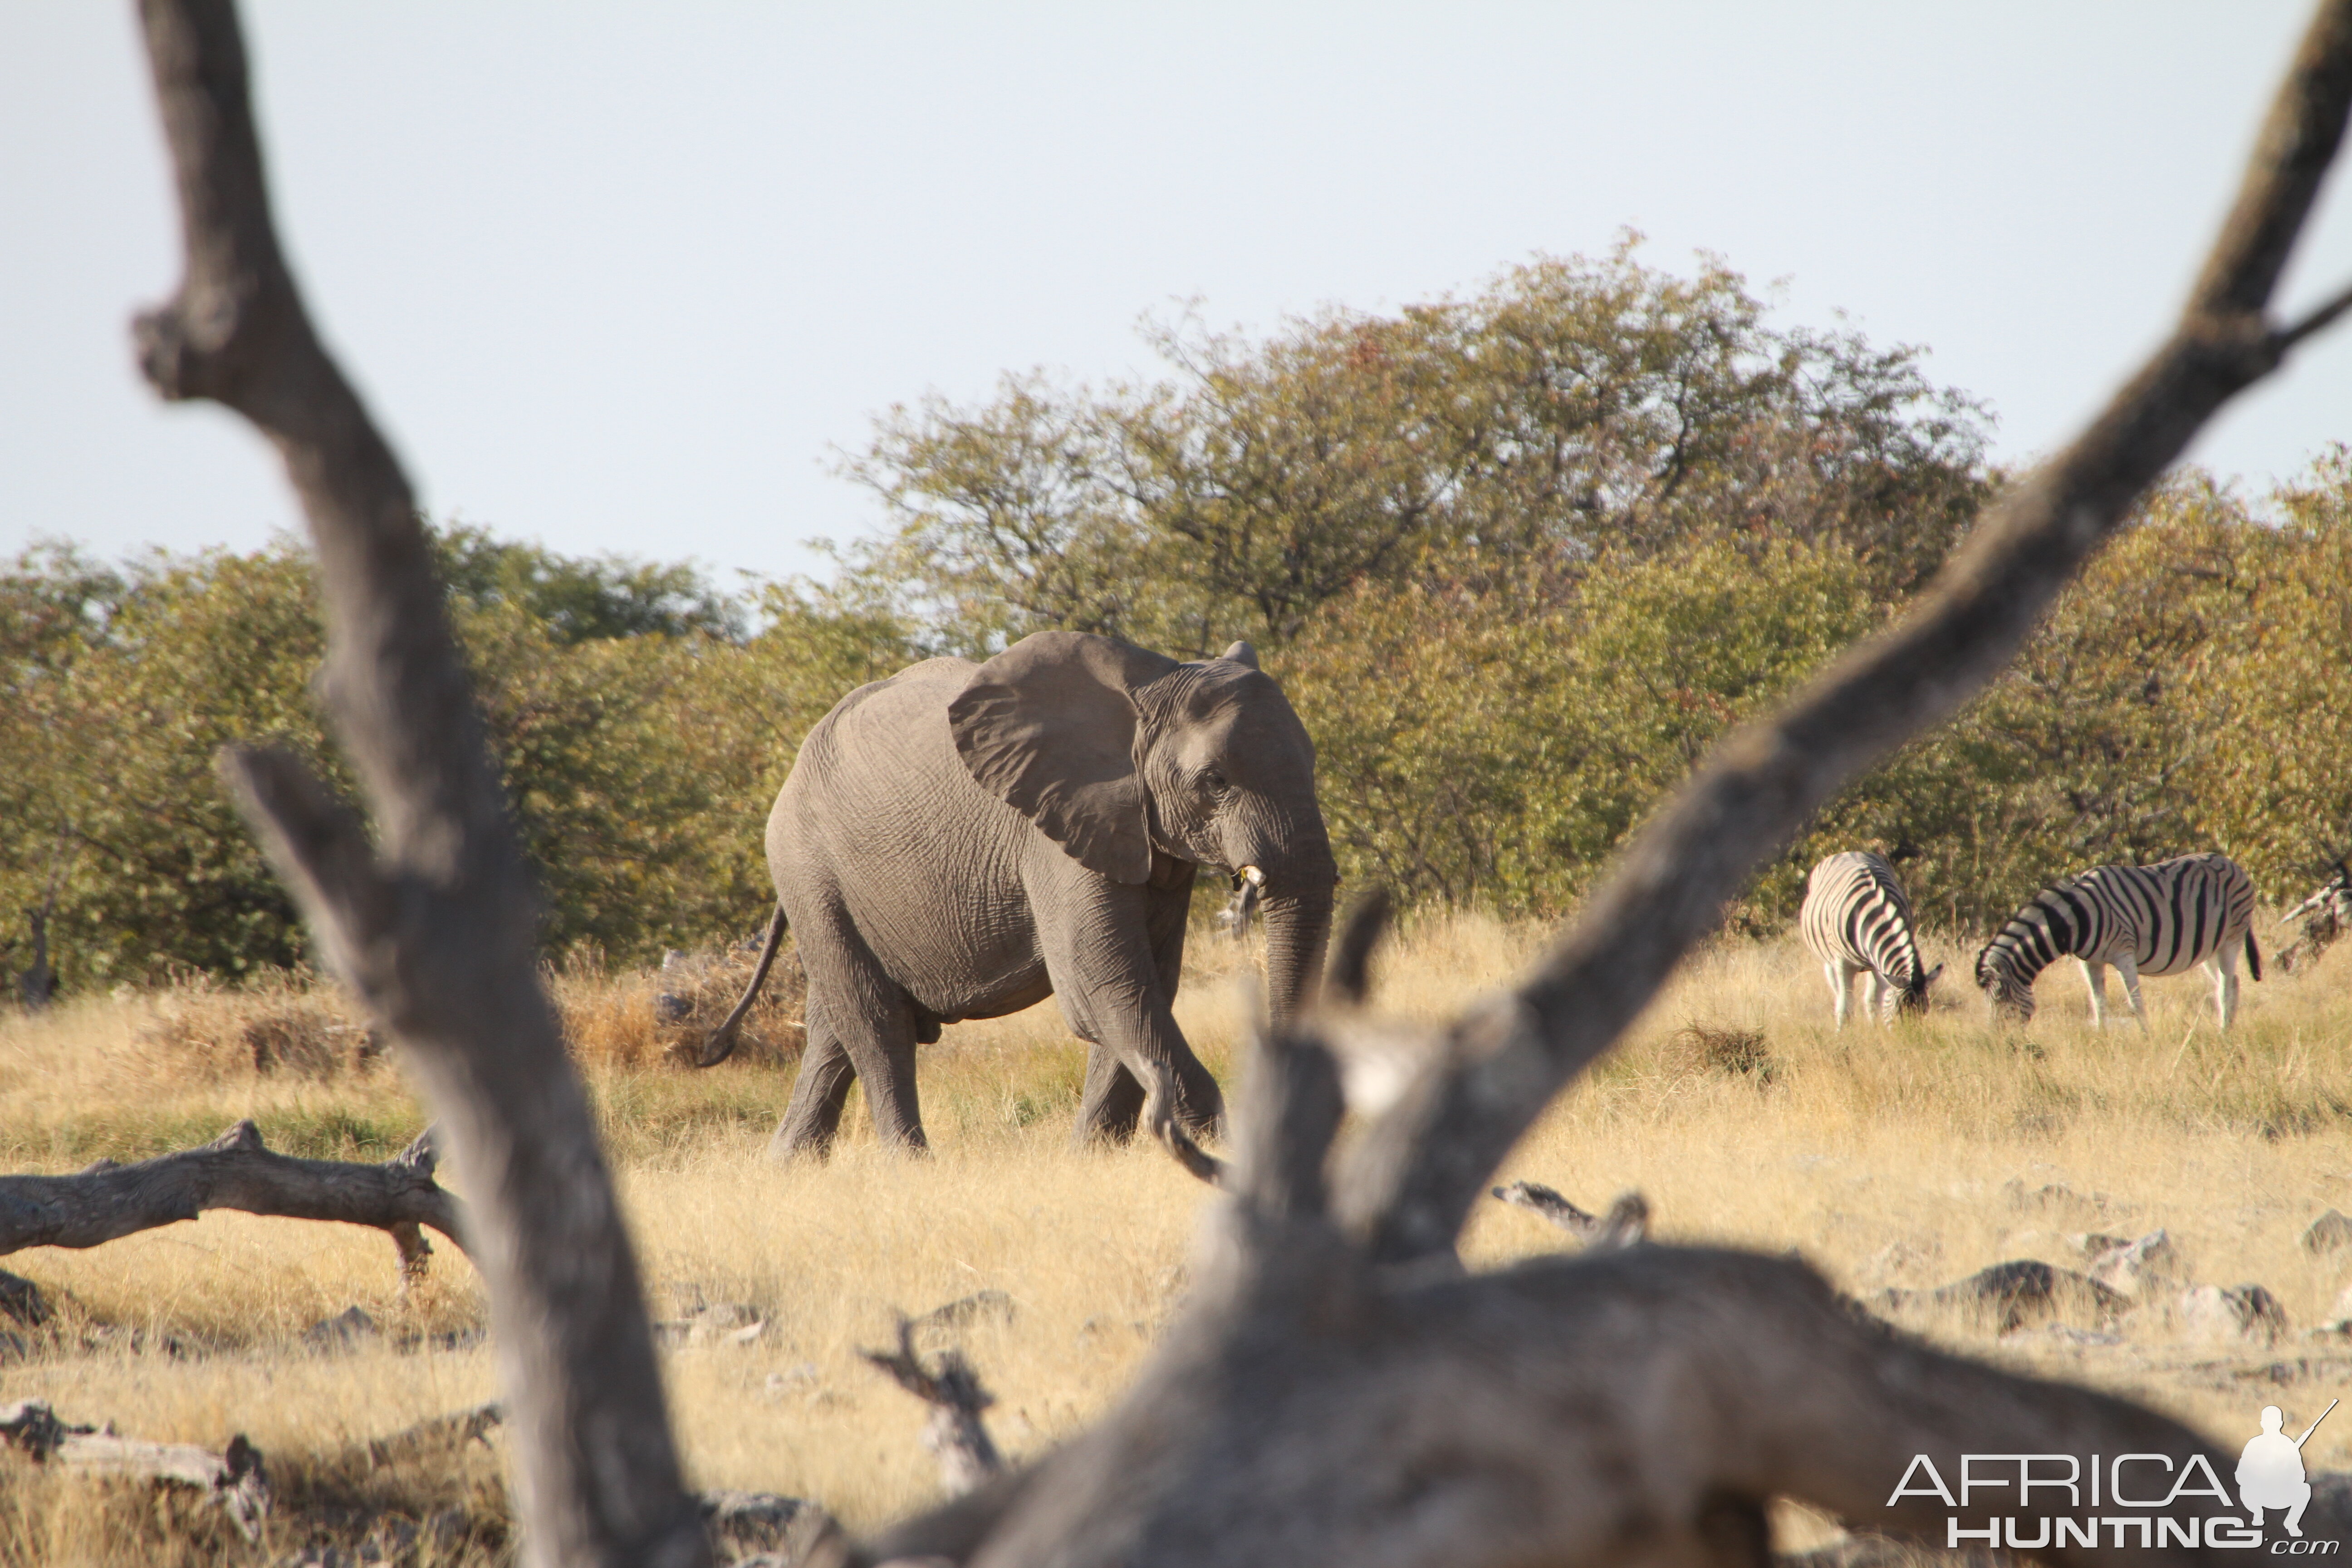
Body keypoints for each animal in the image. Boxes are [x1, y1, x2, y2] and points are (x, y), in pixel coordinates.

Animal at [691, 630, 1345, 1161]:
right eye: (1215, 782)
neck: (1149, 688)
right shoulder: (1052, 830)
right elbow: (1102, 982)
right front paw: (1222, 1151)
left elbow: (1145, 984)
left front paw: (1092, 1161)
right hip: (809, 870)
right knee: (875, 1024)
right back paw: (911, 1168)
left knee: (833, 1029)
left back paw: (789, 1167)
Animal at [1797, 860, 1947, 1029]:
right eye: (1899, 1011)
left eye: (1924, 1012)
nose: (1911, 1035)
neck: (1876, 911)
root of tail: (1847, 854)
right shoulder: (1843, 962)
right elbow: (1846, 1006)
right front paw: (1842, 1033)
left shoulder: (1878, 961)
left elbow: (1873, 1001)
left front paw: (1875, 1030)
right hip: (1829, 960)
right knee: (1839, 992)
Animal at [1975, 860, 2267, 1029]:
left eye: (2000, 1001)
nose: (2005, 1046)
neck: (2076, 920)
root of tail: (2233, 864)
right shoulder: (2088, 961)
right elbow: (2098, 1003)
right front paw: (2102, 1040)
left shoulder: (2124, 952)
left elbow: (2135, 1003)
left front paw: (2147, 1040)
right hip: (2209, 948)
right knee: (2229, 982)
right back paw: (2226, 1029)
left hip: (2232, 938)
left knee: (2226, 988)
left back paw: (2223, 1034)